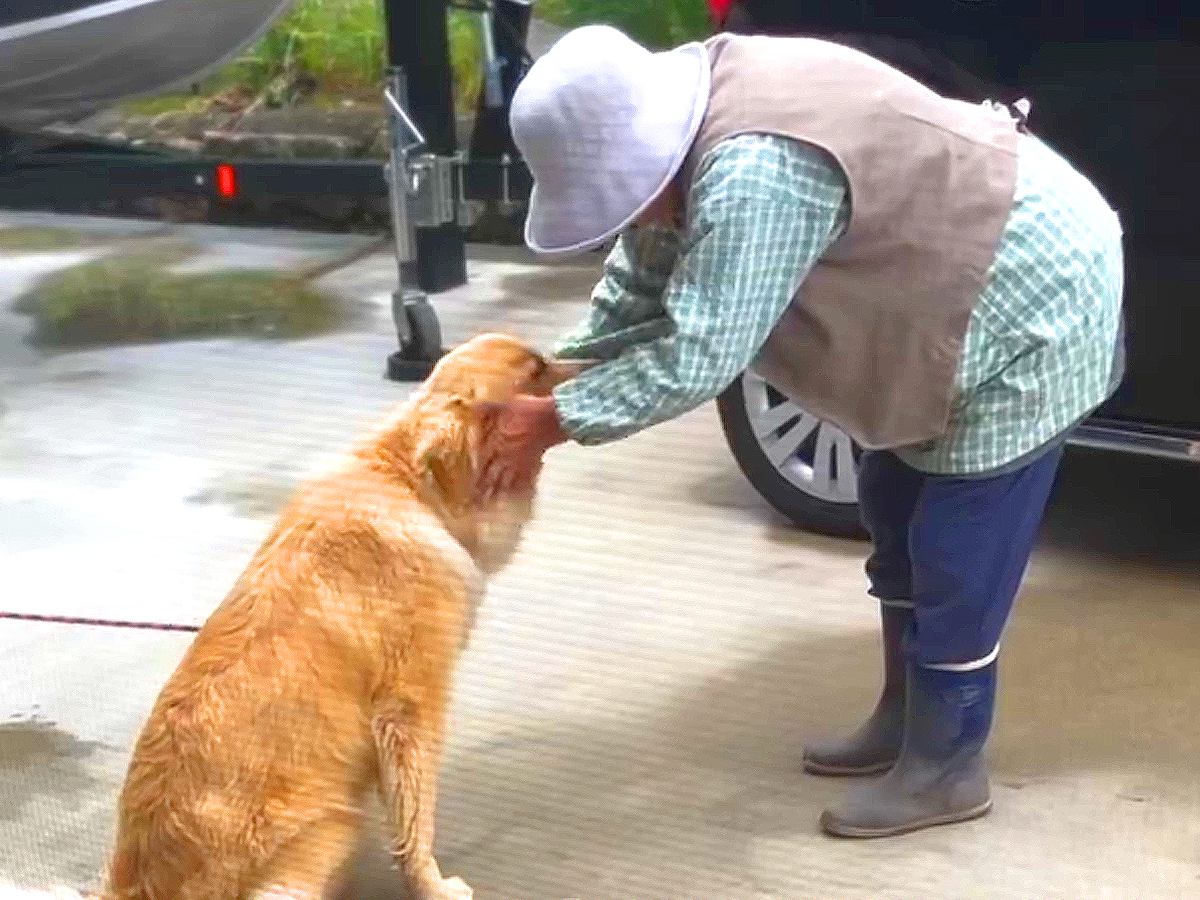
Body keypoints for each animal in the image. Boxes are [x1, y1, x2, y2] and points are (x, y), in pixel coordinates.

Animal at [59, 336, 580, 900]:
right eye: (536, 370)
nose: (594, 364)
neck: (412, 485)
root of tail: (144, 880)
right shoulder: (412, 706)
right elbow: (415, 820)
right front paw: (432, 885)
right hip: (332, 829)